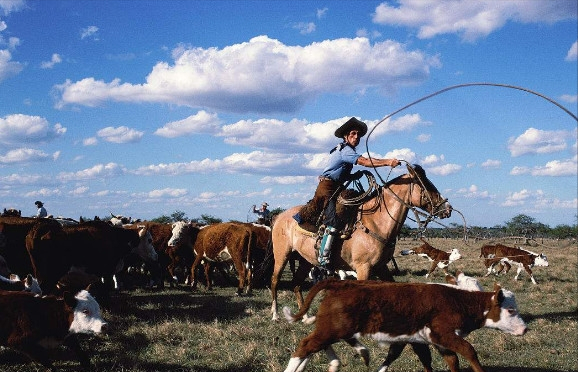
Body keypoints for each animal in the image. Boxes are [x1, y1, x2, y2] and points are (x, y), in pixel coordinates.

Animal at [268, 164, 450, 322]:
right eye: (426, 184)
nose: (447, 208)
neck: (375, 223)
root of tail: (279, 216)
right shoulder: (364, 268)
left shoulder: (381, 267)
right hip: (282, 255)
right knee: (275, 281)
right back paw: (275, 315)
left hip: (306, 260)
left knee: (296, 284)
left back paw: (304, 317)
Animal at [282, 278, 524, 372]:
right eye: (511, 310)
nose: (524, 329)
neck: (455, 300)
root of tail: (340, 283)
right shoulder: (443, 333)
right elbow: (468, 351)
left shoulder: (422, 340)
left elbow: (442, 360)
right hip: (332, 329)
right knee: (305, 346)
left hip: (331, 328)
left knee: (315, 346)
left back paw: (353, 355)